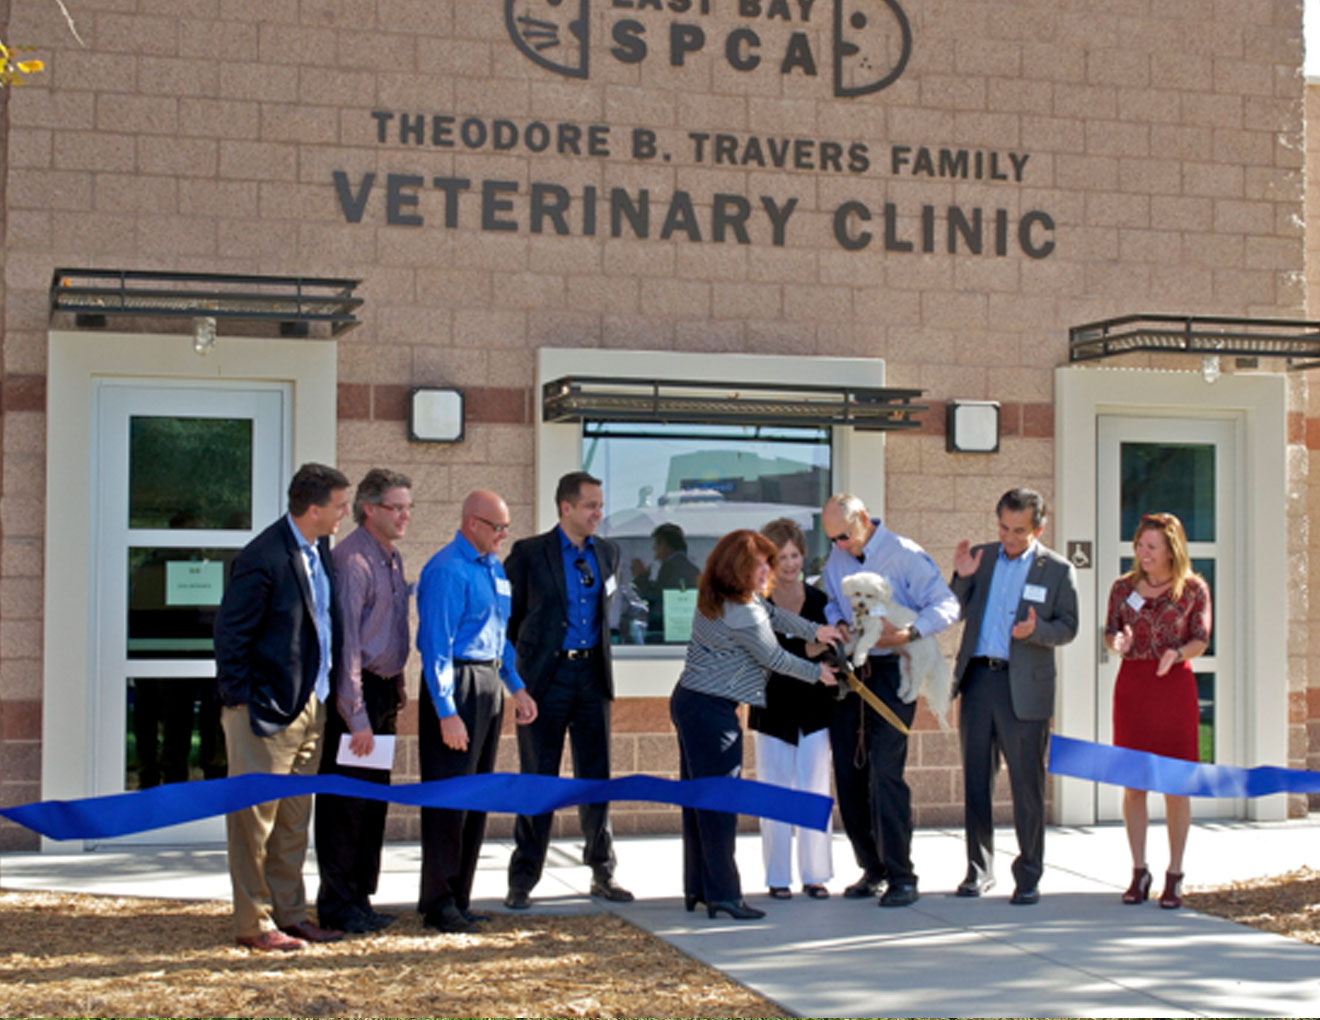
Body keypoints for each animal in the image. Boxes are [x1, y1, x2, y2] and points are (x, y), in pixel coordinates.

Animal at [839, 572, 955, 723]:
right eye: (857, 593)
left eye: (870, 595)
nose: (861, 604)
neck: (867, 612)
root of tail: (934, 645)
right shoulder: (859, 631)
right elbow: (852, 642)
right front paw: (843, 651)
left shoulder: (874, 630)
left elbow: (863, 643)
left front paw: (858, 659)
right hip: (904, 662)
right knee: (906, 678)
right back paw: (902, 691)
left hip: (918, 664)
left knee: (916, 683)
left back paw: (909, 697)